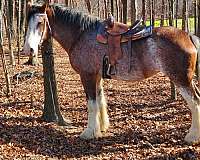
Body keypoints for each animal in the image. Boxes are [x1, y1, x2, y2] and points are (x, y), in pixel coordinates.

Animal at [23, 3, 200, 144]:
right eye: (26, 23)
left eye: (40, 23)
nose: (28, 50)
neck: (81, 35)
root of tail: (189, 36)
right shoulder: (97, 76)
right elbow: (100, 101)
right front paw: (101, 128)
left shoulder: (87, 76)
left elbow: (92, 104)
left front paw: (89, 132)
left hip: (181, 79)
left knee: (195, 103)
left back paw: (192, 136)